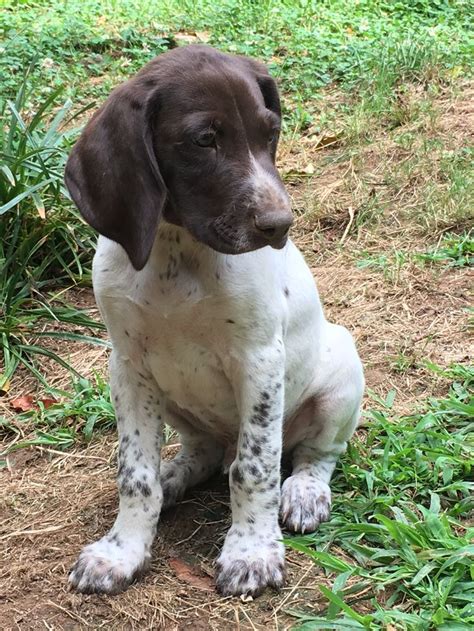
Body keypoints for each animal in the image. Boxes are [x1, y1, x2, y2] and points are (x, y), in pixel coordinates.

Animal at [65, 43, 364, 596]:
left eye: (271, 133)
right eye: (205, 140)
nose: (280, 225)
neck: (178, 253)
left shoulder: (259, 361)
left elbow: (255, 467)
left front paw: (252, 552)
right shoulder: (127, 366)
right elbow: (134, 473)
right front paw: (122, 550)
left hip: (341, 374)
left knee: (315, 453)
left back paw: (304, 492)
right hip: (172, 399)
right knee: (203, 452)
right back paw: (174, 475)